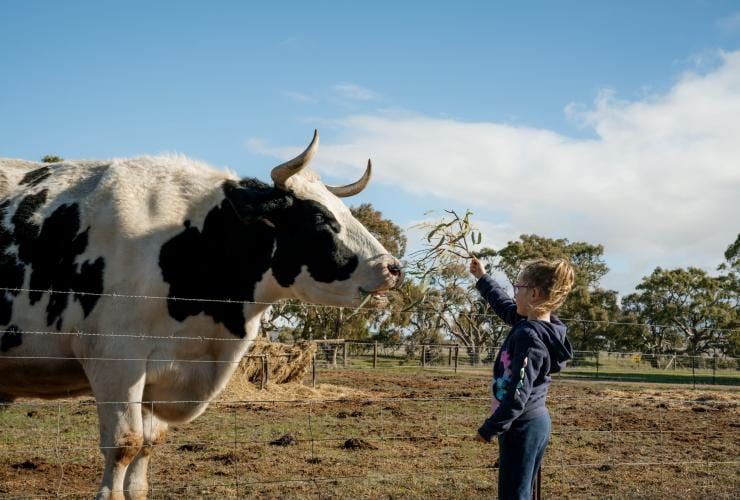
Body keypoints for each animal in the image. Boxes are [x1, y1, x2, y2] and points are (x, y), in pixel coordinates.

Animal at [0, 131, 402, 499]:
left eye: (345, 211)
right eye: (320, 218)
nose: (393, 267)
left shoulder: (155, 373)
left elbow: (149, 447)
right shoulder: (115, 358)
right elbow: (125, 445)